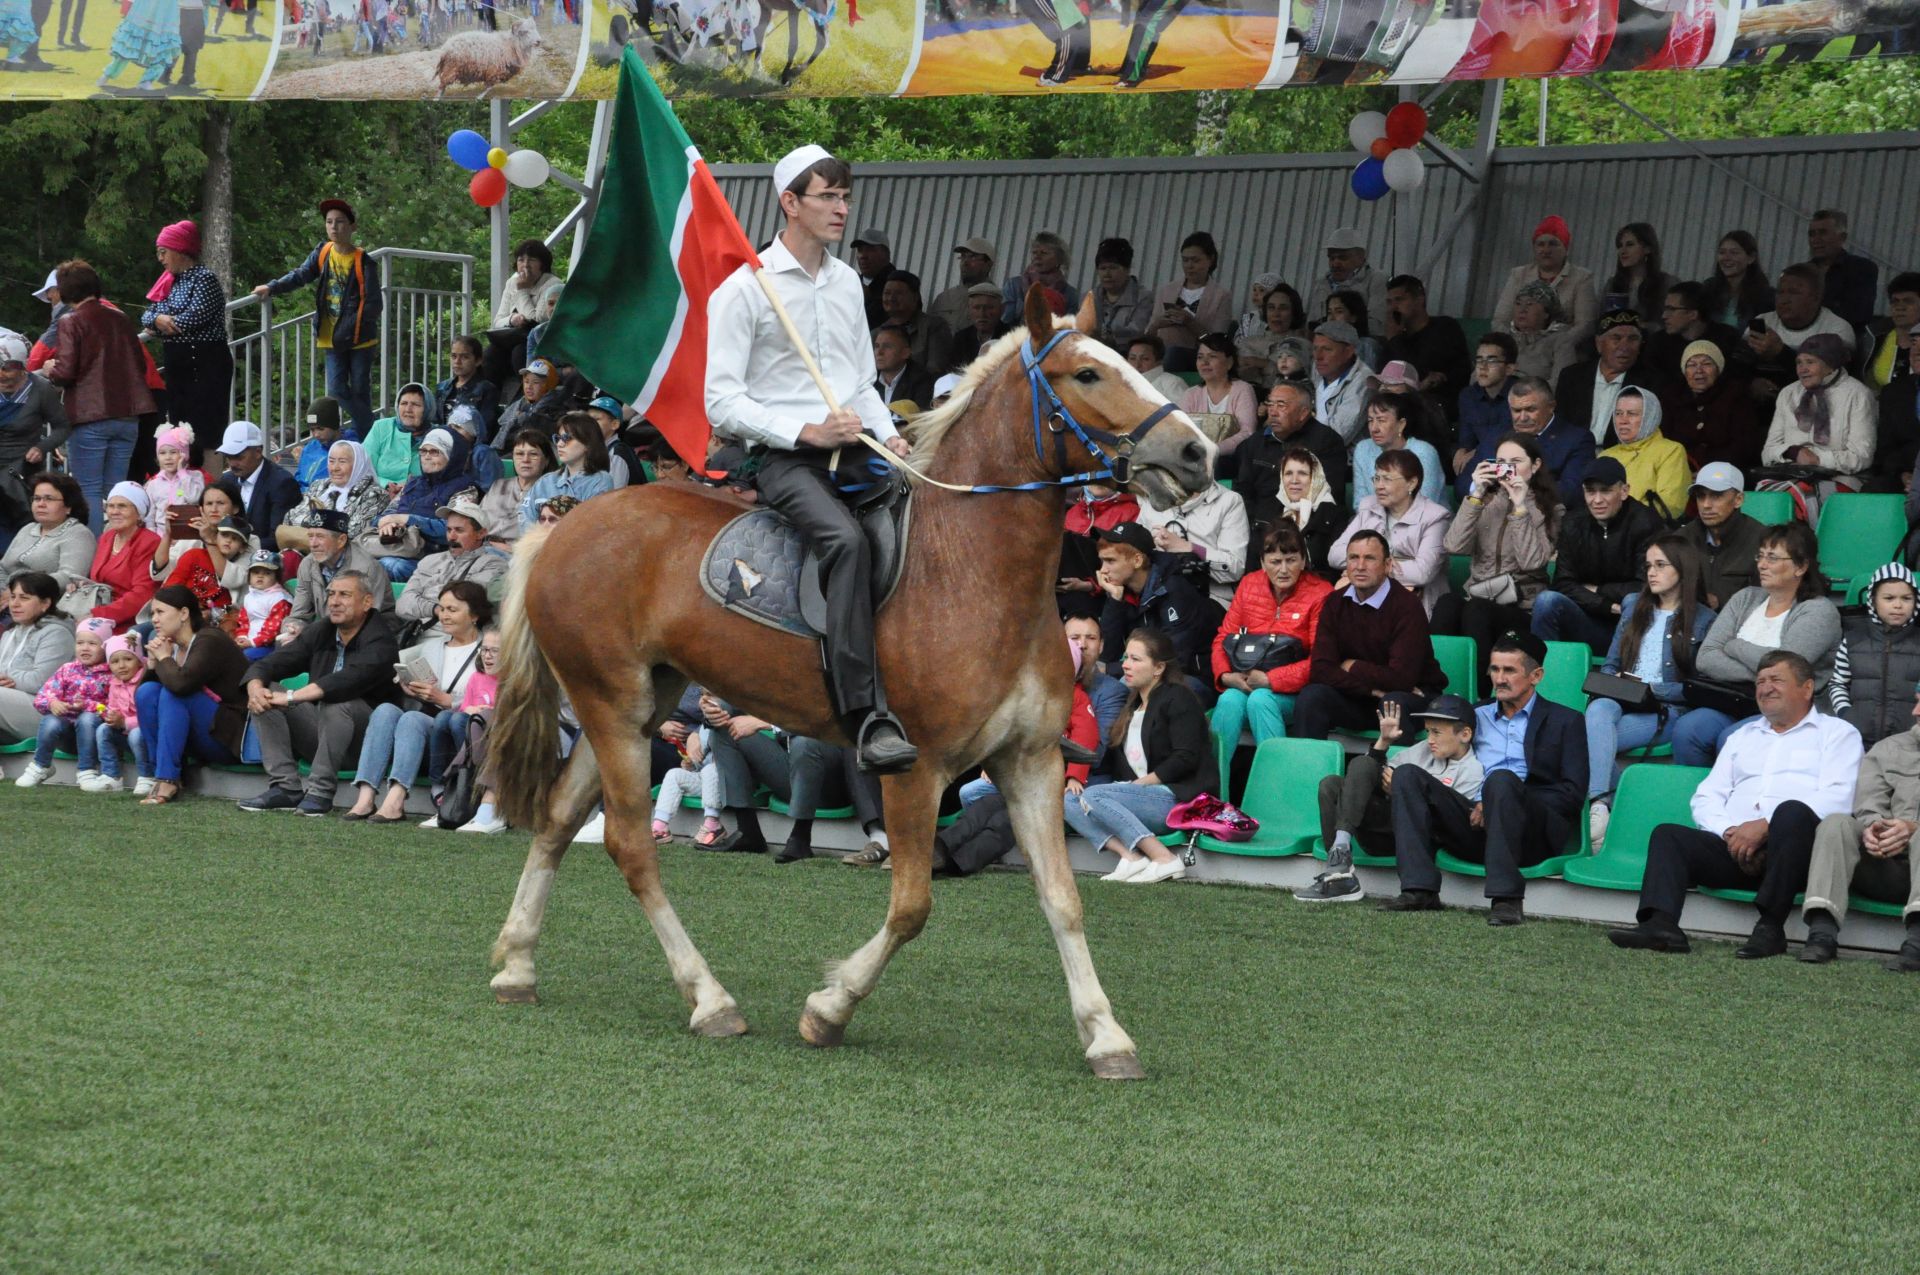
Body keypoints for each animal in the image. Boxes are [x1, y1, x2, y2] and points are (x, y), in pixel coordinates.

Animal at [491, 288, 1213, 1075]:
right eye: (1087, 373)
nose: (1197, 452)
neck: (972, 570)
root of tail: (560, 531)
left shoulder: (1031, 762)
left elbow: (1061, 899)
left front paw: (1106, 1035)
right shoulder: (916, 768)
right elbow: (913, 906)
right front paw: (828, 1009)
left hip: (638, 704)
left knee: (558, 817)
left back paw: (518, 966)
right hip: (612, 705)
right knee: (628, 844)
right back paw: (709, 1000)